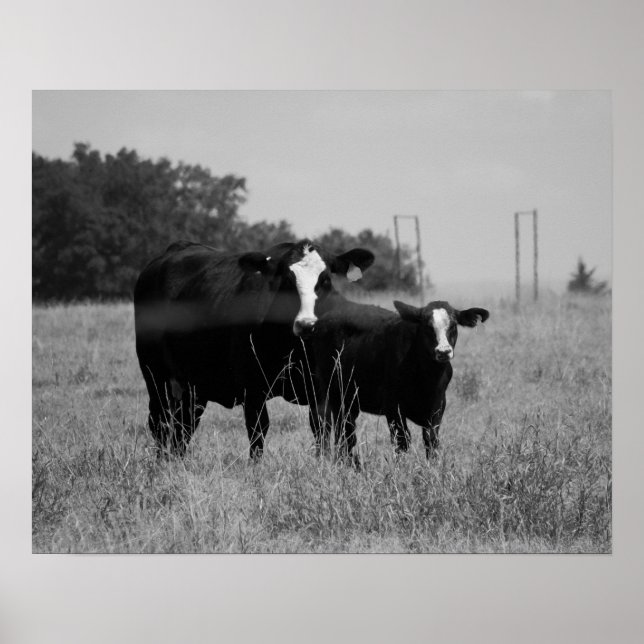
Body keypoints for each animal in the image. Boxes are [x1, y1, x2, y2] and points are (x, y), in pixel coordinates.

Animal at [133, 239, 375, 459]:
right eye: (288, 280)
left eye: (325, 280)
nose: (306, 324)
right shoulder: (252, 388)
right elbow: (258, 430)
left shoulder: (320, 388)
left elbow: (321, 427)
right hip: (155, 376)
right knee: (160, 423)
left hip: (194, 386)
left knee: (183, 426)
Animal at [309, 299, 489, 466]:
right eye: (427, 327)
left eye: (453, 326)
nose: (443, 351)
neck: (426, 379)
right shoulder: (393, 406)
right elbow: (402, 441)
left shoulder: (438, 405)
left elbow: (431, 439)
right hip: (335, 394)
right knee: (338, 431)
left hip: (351, 400)